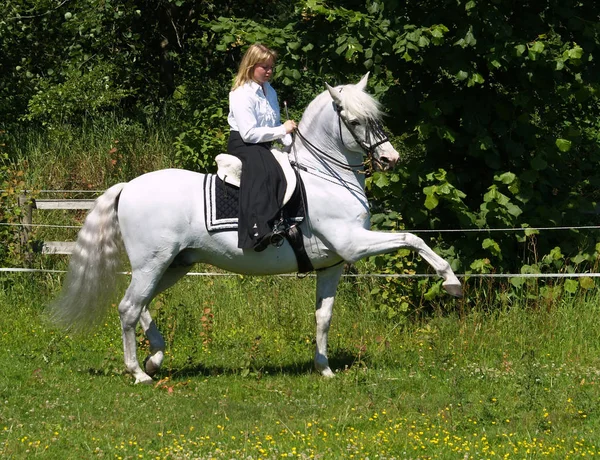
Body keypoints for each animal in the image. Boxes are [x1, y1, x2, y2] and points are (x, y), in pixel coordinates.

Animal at [48, 73, 464, 384]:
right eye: (355, 120)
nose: (390, 158)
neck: (326, 176)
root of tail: (128, 186)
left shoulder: (332, 265)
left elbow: (323, 317)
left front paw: (324, 368)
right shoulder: (354, 244)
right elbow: (412, 238)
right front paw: (451, 281)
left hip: (174, 264)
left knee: (141, 304)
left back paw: (155, 359)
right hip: (153, 263)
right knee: (130, 307)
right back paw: (139, 372)